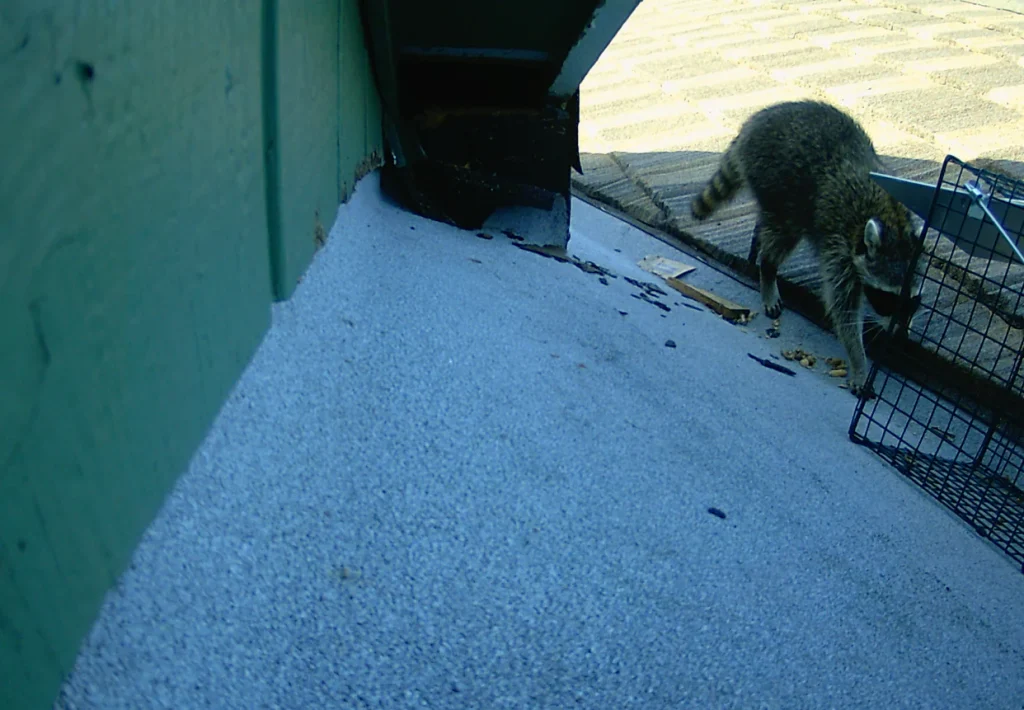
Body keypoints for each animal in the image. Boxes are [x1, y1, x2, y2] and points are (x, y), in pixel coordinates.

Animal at [691, 100, 922, 396]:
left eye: (912, 302)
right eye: (887, 298)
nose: (902, 338)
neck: (892, 221)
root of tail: (753, 124)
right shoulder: (840, 246)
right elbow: (843, 309)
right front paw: (859, 362)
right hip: (775, 179)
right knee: (783, 231)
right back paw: (768, 271)